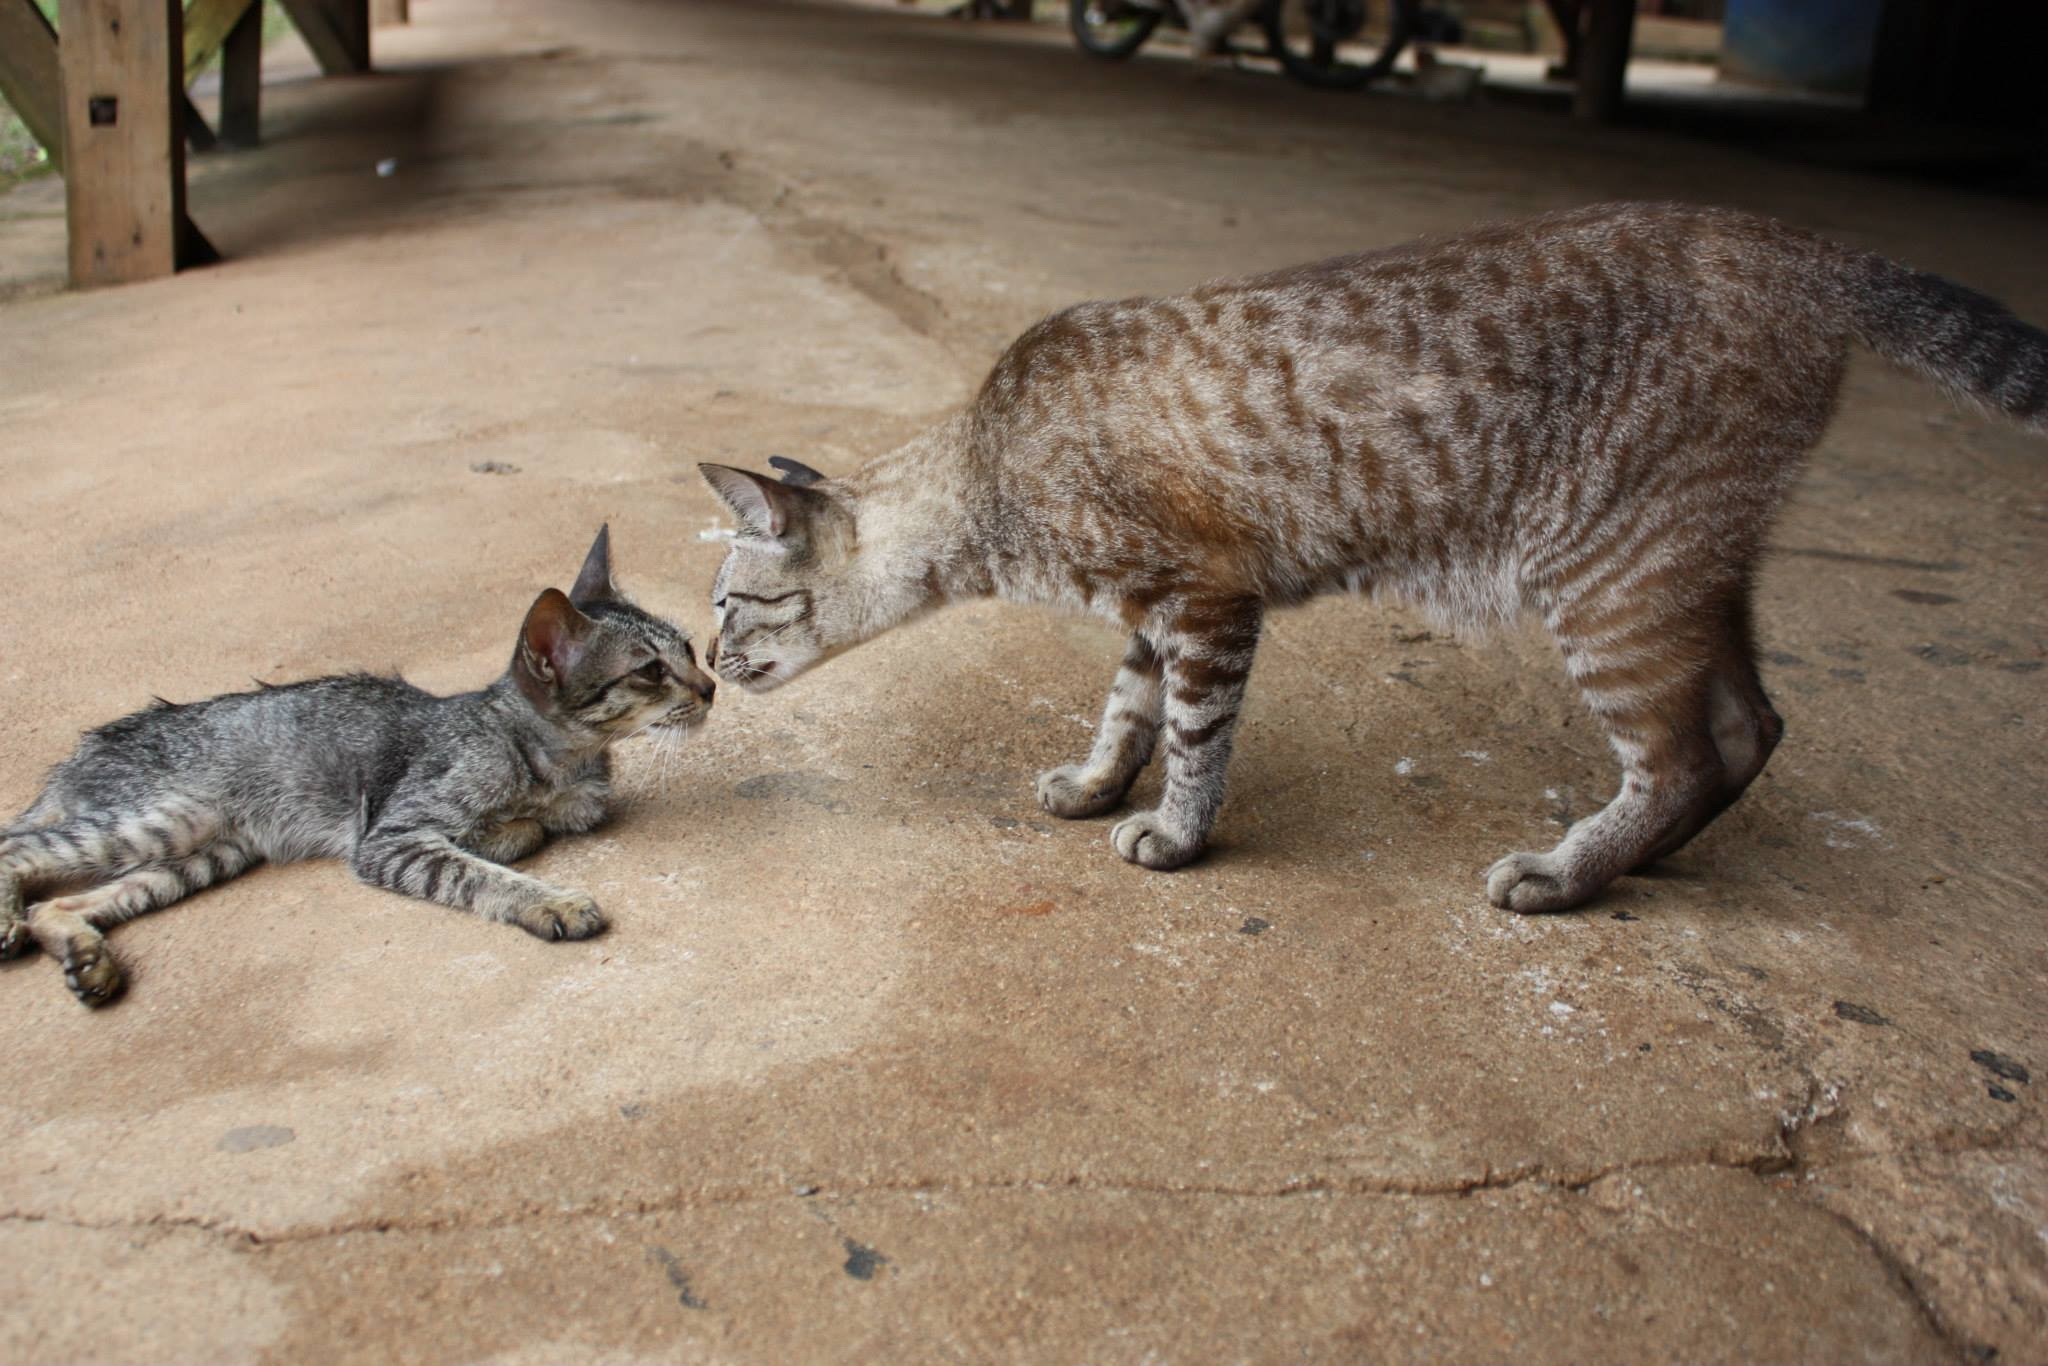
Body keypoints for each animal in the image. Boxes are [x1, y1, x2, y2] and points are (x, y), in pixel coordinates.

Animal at [0, 527, 715, 1006]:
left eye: (687, 648)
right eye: (651, 672)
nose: (710, 687)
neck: (560, 763)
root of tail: (79, 754)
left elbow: (523, 831)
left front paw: (515, 831)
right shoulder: (389, 837)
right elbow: (480, 868)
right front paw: (550, 899)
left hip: (203, 854)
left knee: (59, 903)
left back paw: (84, 958)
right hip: (165, 816)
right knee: (18, 849)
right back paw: (13, 924)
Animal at [696, 202, 2045, 913]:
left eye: (725, 603)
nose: (706, 668)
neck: (985, 466)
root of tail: (1785, 237)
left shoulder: (1208, 601)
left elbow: (1192, 738)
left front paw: (1174, 834)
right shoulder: (1155, 610)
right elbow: (1122, 709)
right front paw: (1094, 786)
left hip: (1605, 583)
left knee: (1685, 752)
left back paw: (1563, 875)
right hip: (1684, 575)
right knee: (1751, 724)